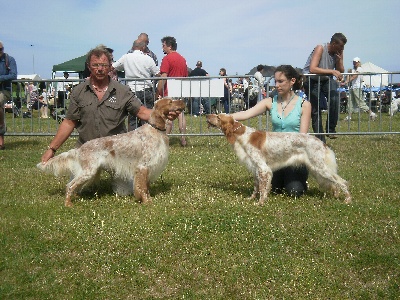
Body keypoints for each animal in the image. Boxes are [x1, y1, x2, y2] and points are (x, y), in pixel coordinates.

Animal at [37, 98, 186, 206]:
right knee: (70, 186)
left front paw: (148, 199)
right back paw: (68, 204)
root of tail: (80, 149)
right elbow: (142, 188)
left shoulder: (147, 168)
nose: (183, 100)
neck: (155, 130)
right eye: (170, 102)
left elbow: (146, 187)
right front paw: (146, 202)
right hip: (88, 171)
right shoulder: (143, 167)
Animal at [208, 113, 352, 205]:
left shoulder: (263, 168)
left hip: (320, 168)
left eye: (218, 116)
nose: (206, 115)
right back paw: (336, 195)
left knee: (341, 182)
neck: (242, 134)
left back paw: (347, 199)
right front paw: (251, 199)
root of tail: (321, 142)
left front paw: (260, 203)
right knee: (335, 183)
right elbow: (256, 187)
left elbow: (262, 188)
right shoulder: (256, 168)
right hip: (317, 168)